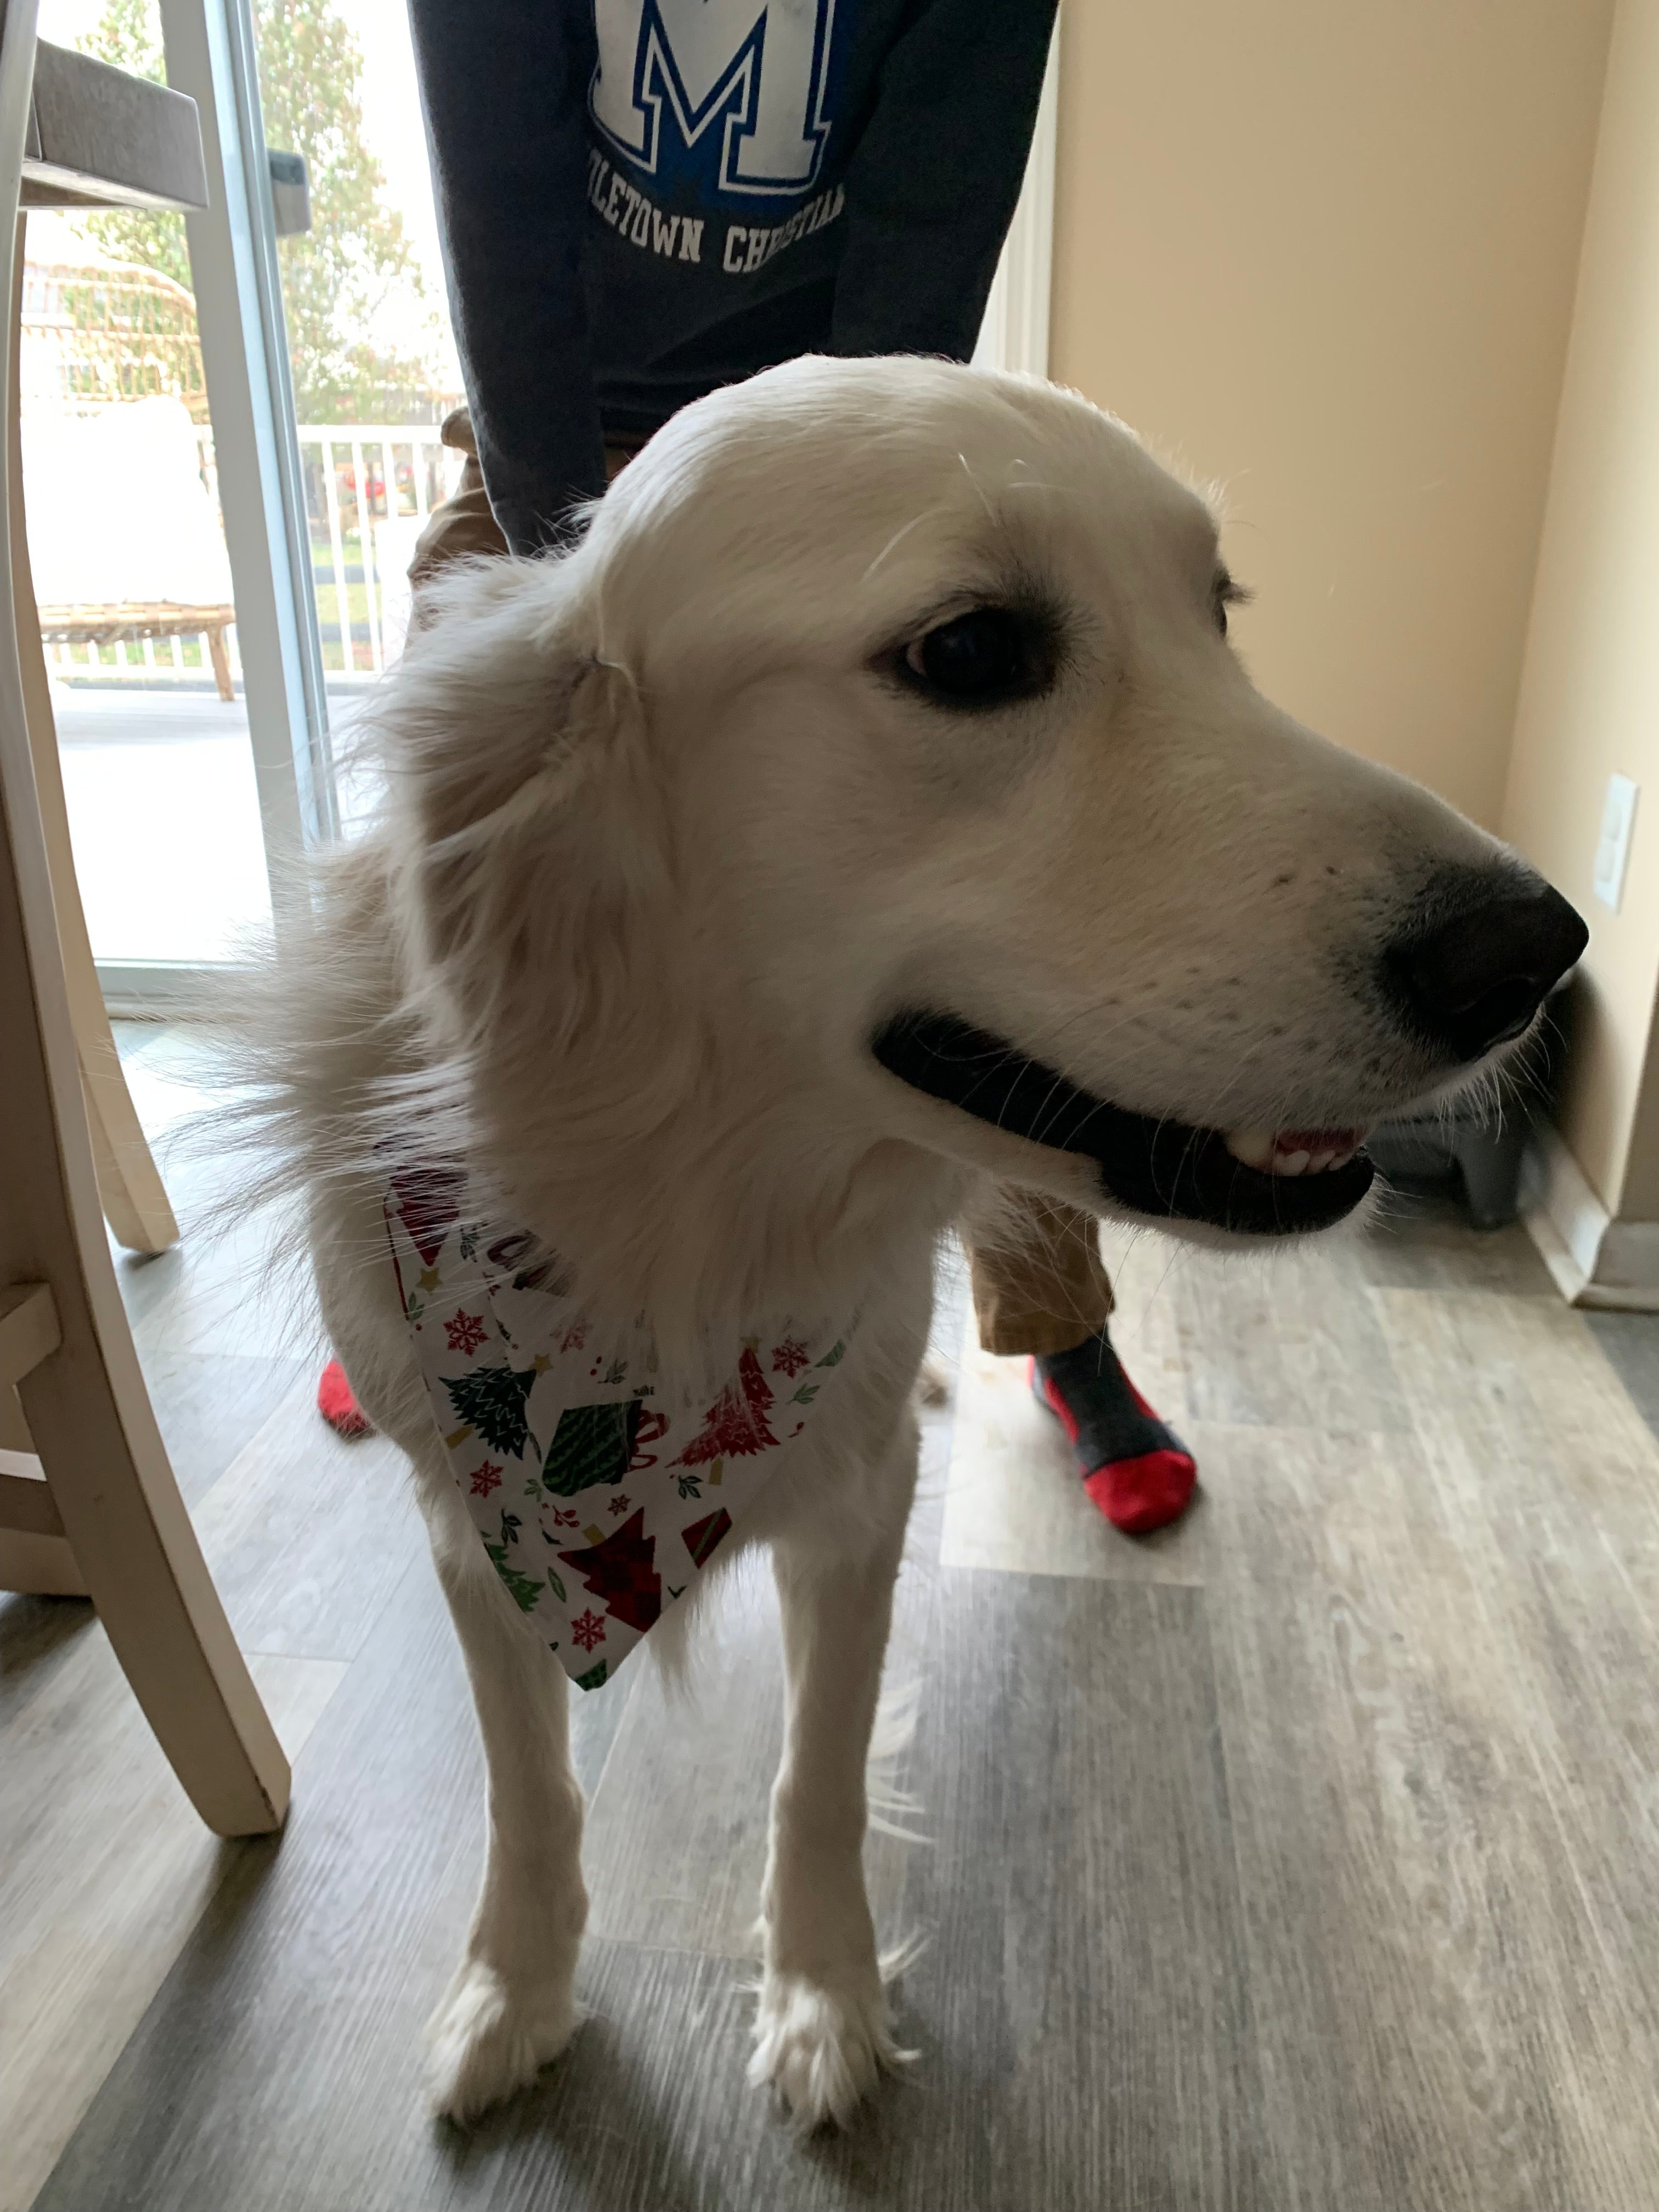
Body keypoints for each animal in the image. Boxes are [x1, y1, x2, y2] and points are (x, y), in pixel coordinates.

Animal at [266, 358, 1593, 2123]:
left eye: (1215, 612)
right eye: (971, 655)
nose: (1537, 954)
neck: (683, 1229)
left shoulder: (857, 1501)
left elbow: (818, 1777)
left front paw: (821, 1995)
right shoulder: (470, 1531)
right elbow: (528, 1790)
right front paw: (516, 1987)